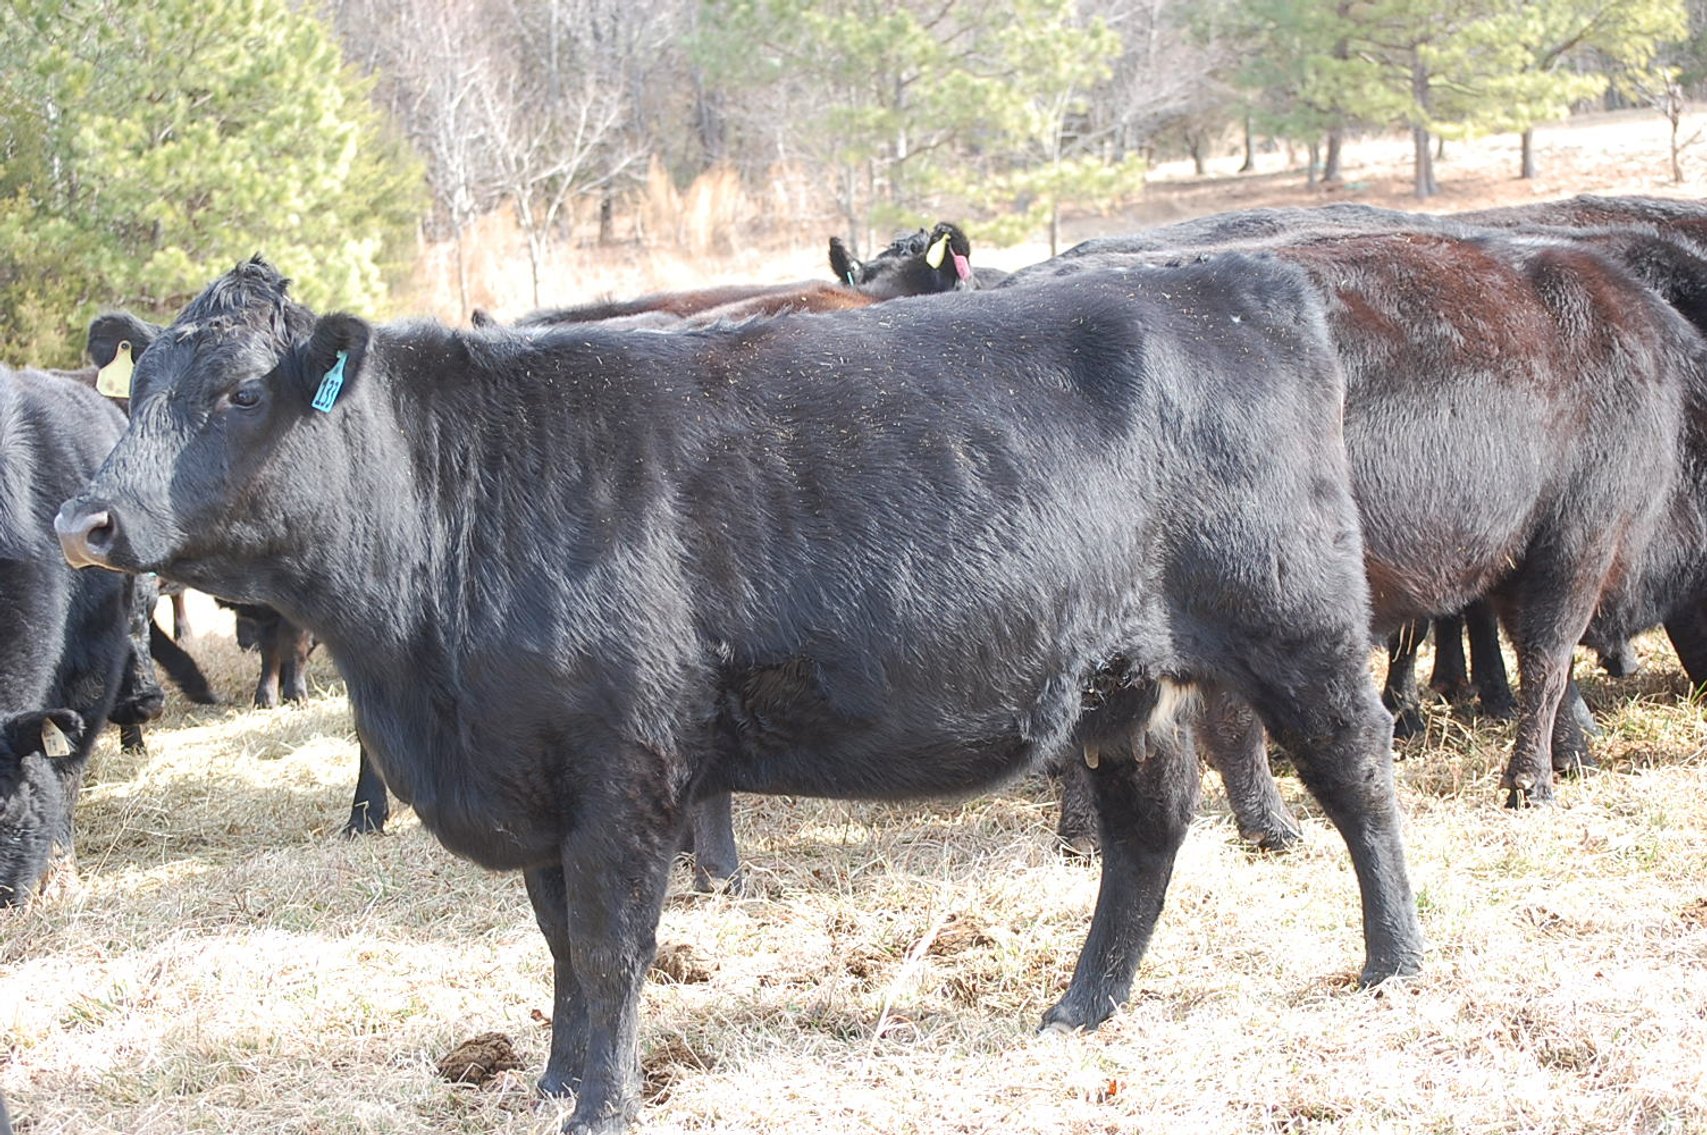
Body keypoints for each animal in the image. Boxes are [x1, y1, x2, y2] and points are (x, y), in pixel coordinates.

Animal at [57, 255, 1421, 1133]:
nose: (86, 519)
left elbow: (613, 947)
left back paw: (1394, 964)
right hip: (1129, 681)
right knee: (1148, 833)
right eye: (134, 390)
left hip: (1298, 627)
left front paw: (602, 1107)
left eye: (241, 391)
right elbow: (559, 944)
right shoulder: (536, 775)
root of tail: (1247, 280)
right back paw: (1083, 1008)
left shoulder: (624, 769)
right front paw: (554, 1081)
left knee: (1359, 780)